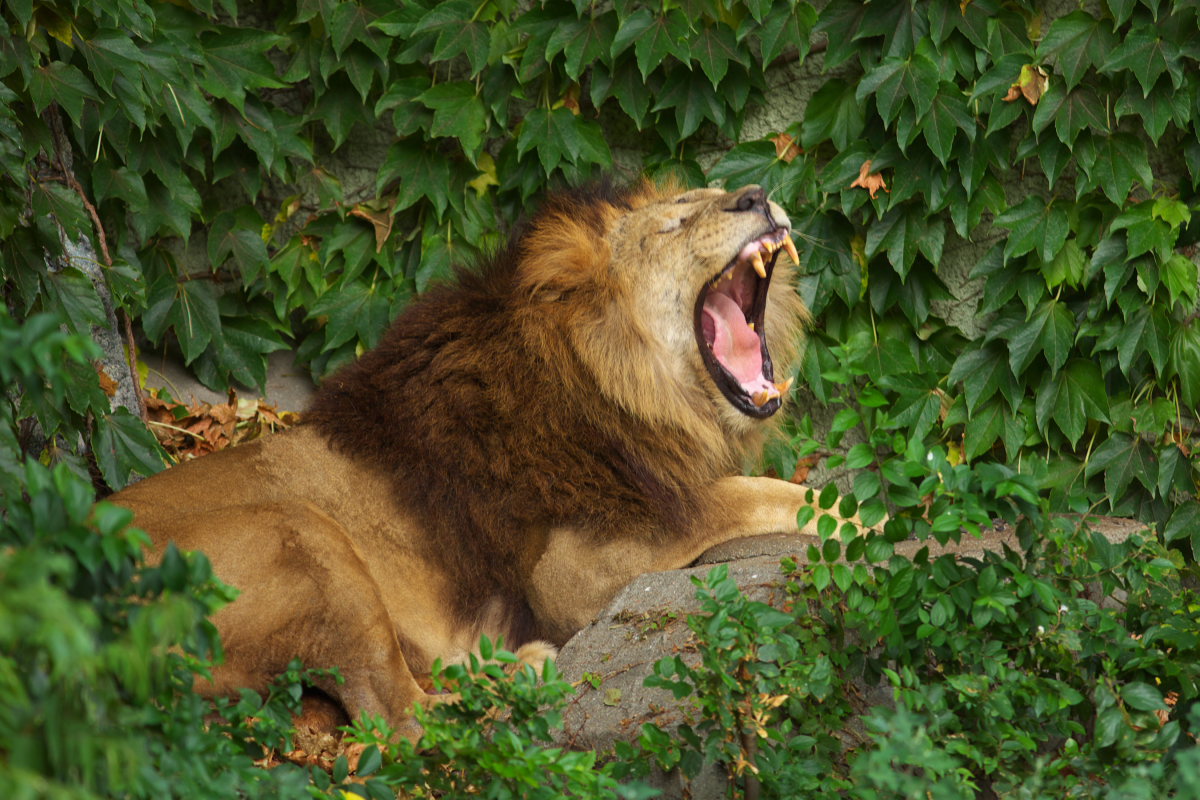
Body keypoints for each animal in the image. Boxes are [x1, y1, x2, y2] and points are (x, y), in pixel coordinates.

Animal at [110, 179, 825, 738]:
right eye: (676, 220)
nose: (756, 195)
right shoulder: (571, 568)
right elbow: (748, 495)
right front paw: (844, 517)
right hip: (298, 530)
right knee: (398, 719)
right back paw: (521, 671)